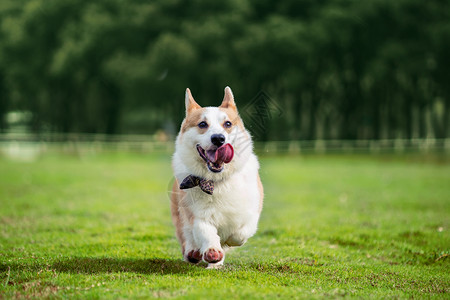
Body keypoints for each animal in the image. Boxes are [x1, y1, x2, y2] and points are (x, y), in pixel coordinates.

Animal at [171, 85, 264, 268]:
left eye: (227, 124)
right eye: (202, 124)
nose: (218, 139)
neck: (218, 180)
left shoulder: (252, 212)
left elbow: (240, 233)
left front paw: (229, 241)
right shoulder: (198, 215)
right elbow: (205, 232)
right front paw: (212, 252)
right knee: (187, 236)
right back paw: (194, 253)